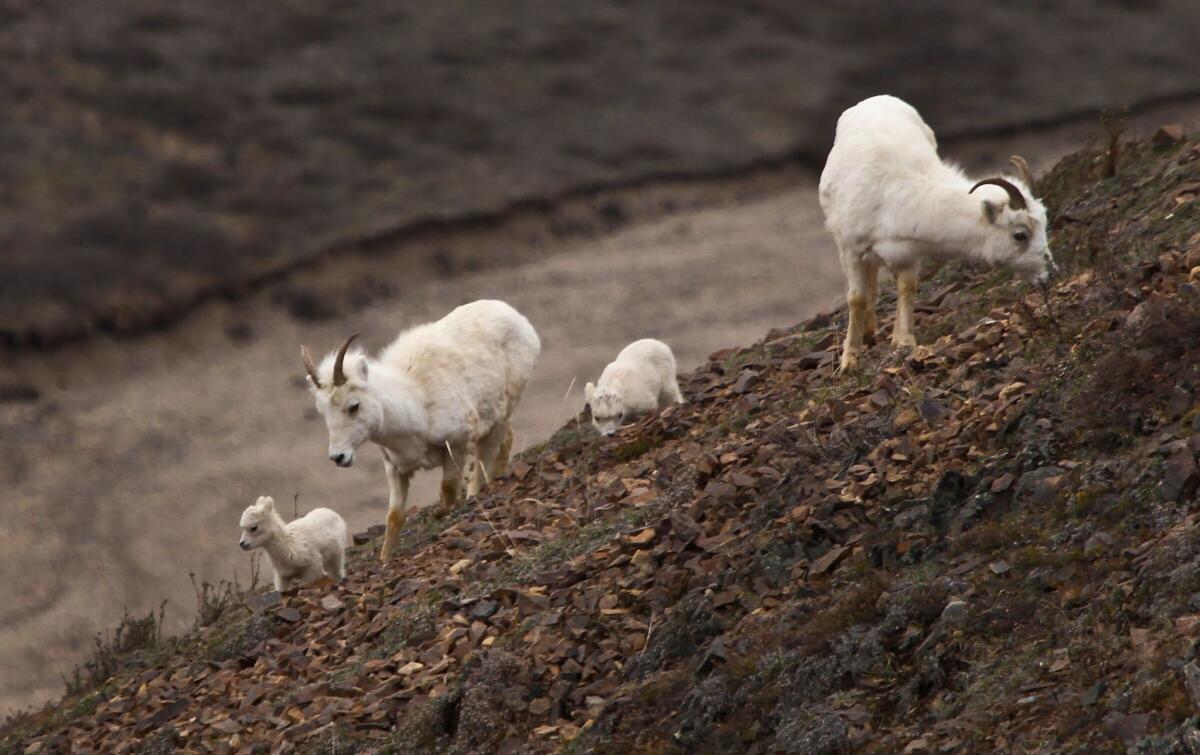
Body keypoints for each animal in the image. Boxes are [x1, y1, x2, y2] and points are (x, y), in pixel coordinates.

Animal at [300, 298, 544, 559]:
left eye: (353, 406)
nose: (338, 457)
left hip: (502, 412)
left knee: (484, 463)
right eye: (322, 412)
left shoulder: (455, 448)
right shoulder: (394, 468)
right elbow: (394, 517)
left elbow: (448, 493)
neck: (414, 403)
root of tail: (515, 316)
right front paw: (385, 559)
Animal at [816, 94, 1060, 372]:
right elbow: (856, 298)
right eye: (1020, 235)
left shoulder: (909, 254)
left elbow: (906, 289)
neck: (892, 194)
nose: (1051, 273)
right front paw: (849, 362)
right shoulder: (851, 250)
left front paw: (903, 343)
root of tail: (875, 99)